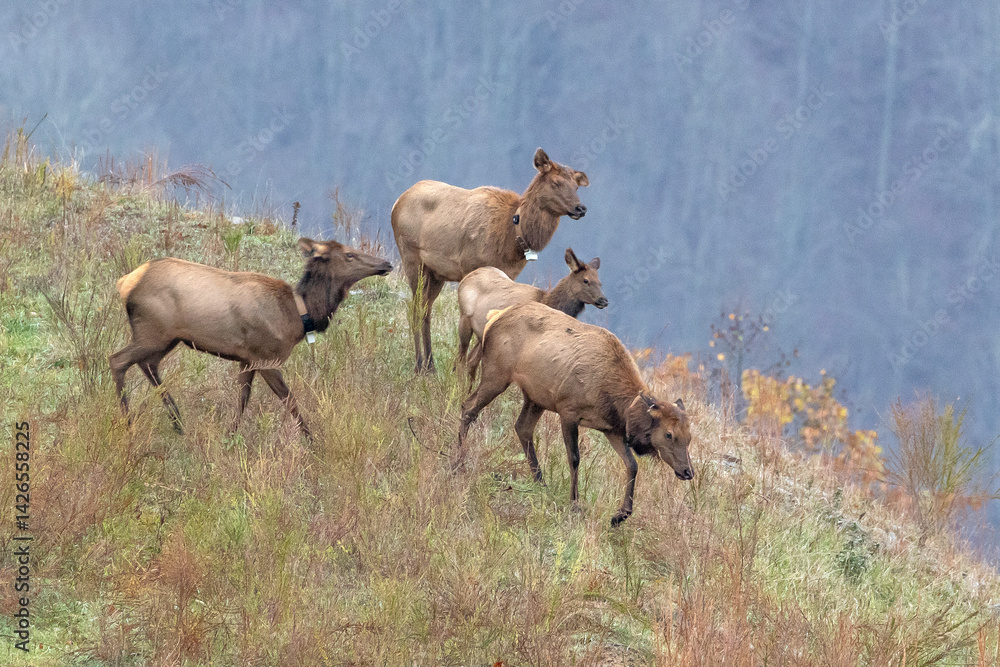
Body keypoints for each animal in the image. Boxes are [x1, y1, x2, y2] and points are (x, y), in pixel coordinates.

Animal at [109, 238, 392, 437]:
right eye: (349, 254)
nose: (386, 263)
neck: (298, 316)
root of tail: (125, 283)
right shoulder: (266, 357)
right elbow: (289, 400)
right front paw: (312, 442)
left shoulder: (247, 359)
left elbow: (243, 399)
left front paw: (230, 435)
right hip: (152, 332)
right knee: (117, 360)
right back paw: (128, 422)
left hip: (166, 339)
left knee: (148, 364)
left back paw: (178, 423)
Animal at [391, 147, 589, 374]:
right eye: (556, 182)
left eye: (576, 186)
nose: (581, 208)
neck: (513, 235)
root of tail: (397, 202)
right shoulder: (470, 265)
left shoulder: (508, 274)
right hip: (411, 257)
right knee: (415, 307)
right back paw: (419, 364)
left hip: (436, 273)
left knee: (426, 309)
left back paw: (431, 365)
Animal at [456, 248, 607, 379]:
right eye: (586, 280)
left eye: (600, 283)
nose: (604, 300)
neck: (548, 301)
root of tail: (466, 277)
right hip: (464, 318)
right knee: (461, 357)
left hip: (481, 334)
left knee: (471, 360)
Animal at [457, 302, 693, 526]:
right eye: (669, 434)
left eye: (689, 437)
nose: (688, 471)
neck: (616, 405)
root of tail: (494, 317)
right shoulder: (568, 410)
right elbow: (574, 458)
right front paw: (575, 504)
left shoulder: (612, 429)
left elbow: (632, 465)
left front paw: (620, 515)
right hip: (496, 373)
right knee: (468, 407)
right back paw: (458, 464)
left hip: (535, 397)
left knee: (522, 427)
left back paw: (541, 483)